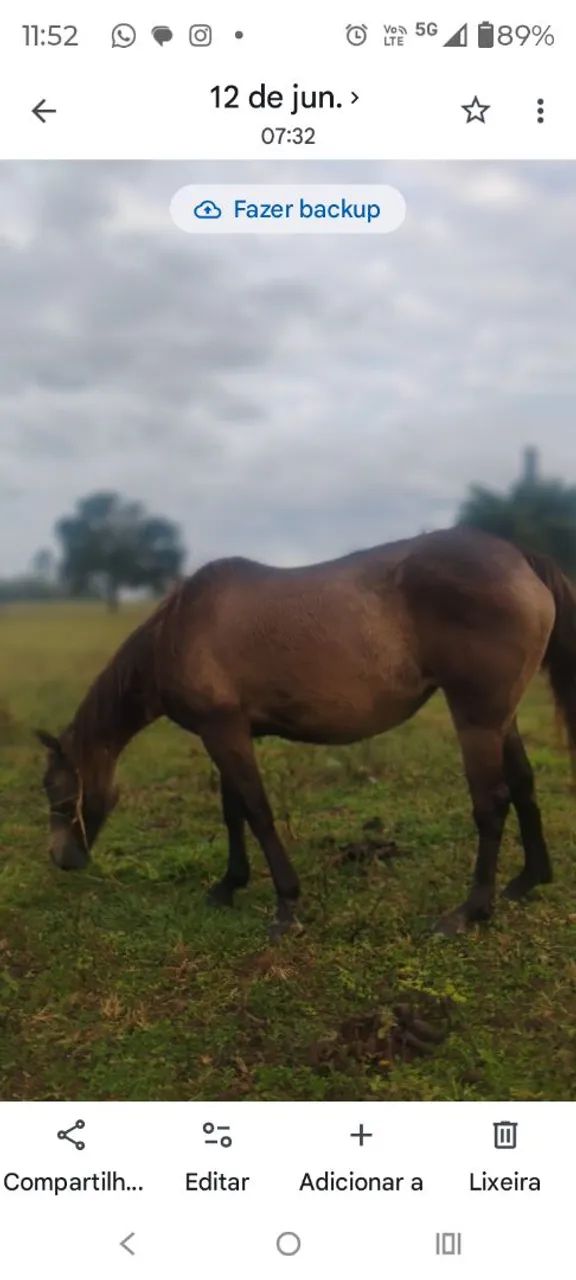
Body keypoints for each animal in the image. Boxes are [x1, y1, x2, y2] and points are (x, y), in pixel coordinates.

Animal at [37, 526, 576, 937]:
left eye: (56, 792)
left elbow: (256, 812)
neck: (178, 630)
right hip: (500, 717)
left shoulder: (223, 731)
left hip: (475, 718)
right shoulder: (228, 732)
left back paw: (469, 912)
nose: (63, 860)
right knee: (523, 785)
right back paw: (527, 881)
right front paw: (228, 885)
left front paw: (287, 906)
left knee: (492, 804)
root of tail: (518, 558)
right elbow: (233, 811)